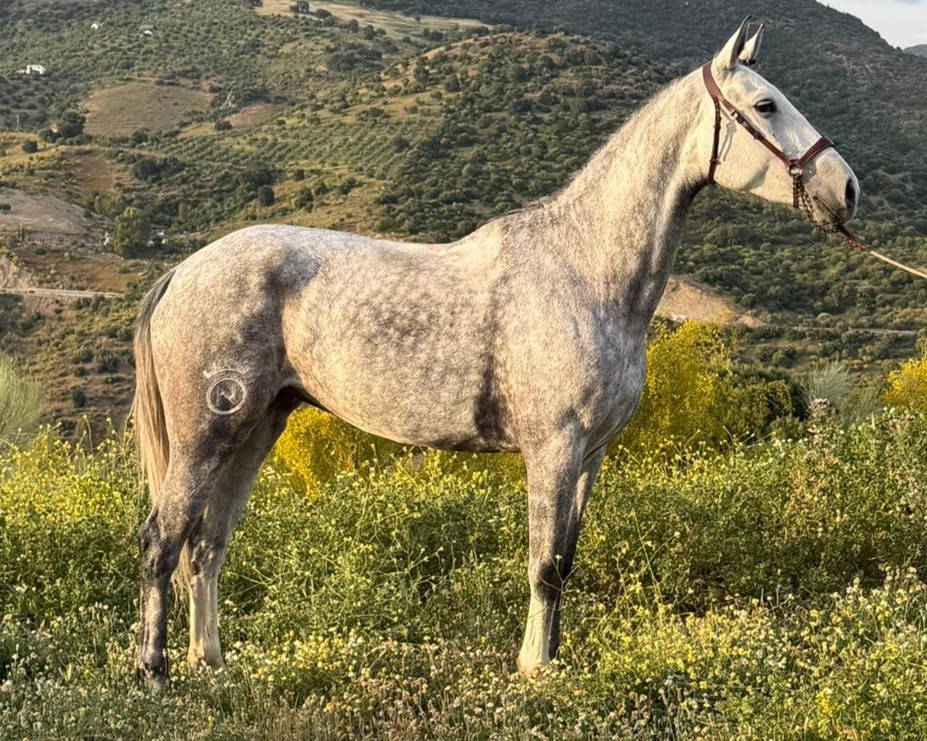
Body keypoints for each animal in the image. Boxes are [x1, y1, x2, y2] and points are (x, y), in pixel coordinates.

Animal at [133, 19, 858, 685]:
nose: (846, 189)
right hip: (205, 435)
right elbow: (542, 564)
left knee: (207, 546)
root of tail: (184, 271)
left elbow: (564, 560)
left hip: (257, 429)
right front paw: (533, 668)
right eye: (765, 105)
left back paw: (213, 665)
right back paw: (156, 671)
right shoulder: (554, 447)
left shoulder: (590, 454)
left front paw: (553, 661)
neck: (583, 268)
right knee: (163, 539)